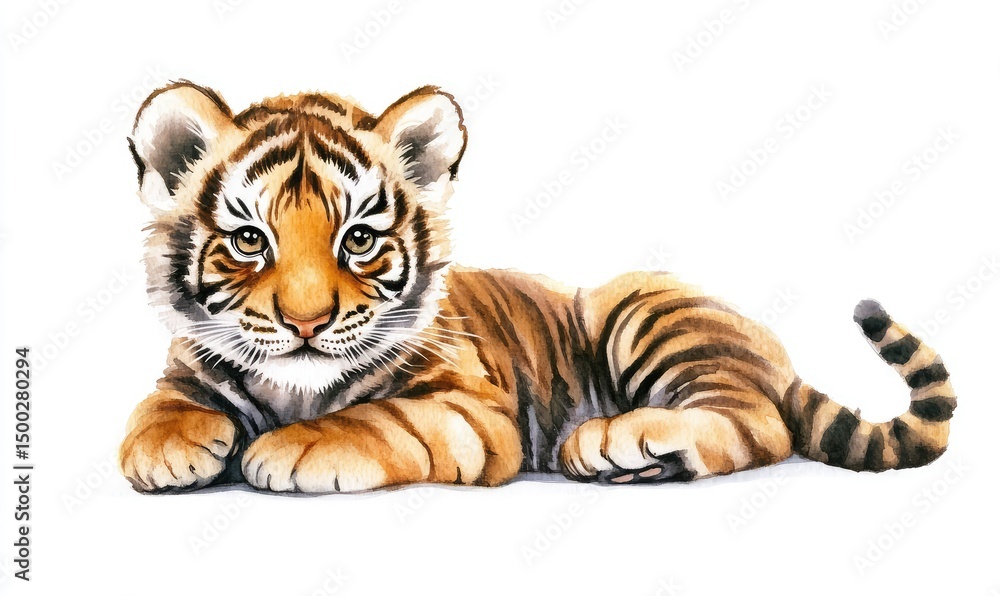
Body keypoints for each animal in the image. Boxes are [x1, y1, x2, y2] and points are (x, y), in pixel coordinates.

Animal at [119, 81, 957, 493]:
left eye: (357, 239)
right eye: (248, 241)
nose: (305, 324)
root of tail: (778, 358)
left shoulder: (464, 409)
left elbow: (373, 419)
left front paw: (294, 447)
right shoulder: (185, 365)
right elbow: (160, 401)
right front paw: (163, 448)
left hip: (638, 309)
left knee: (756, 423)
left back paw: (610, 438)